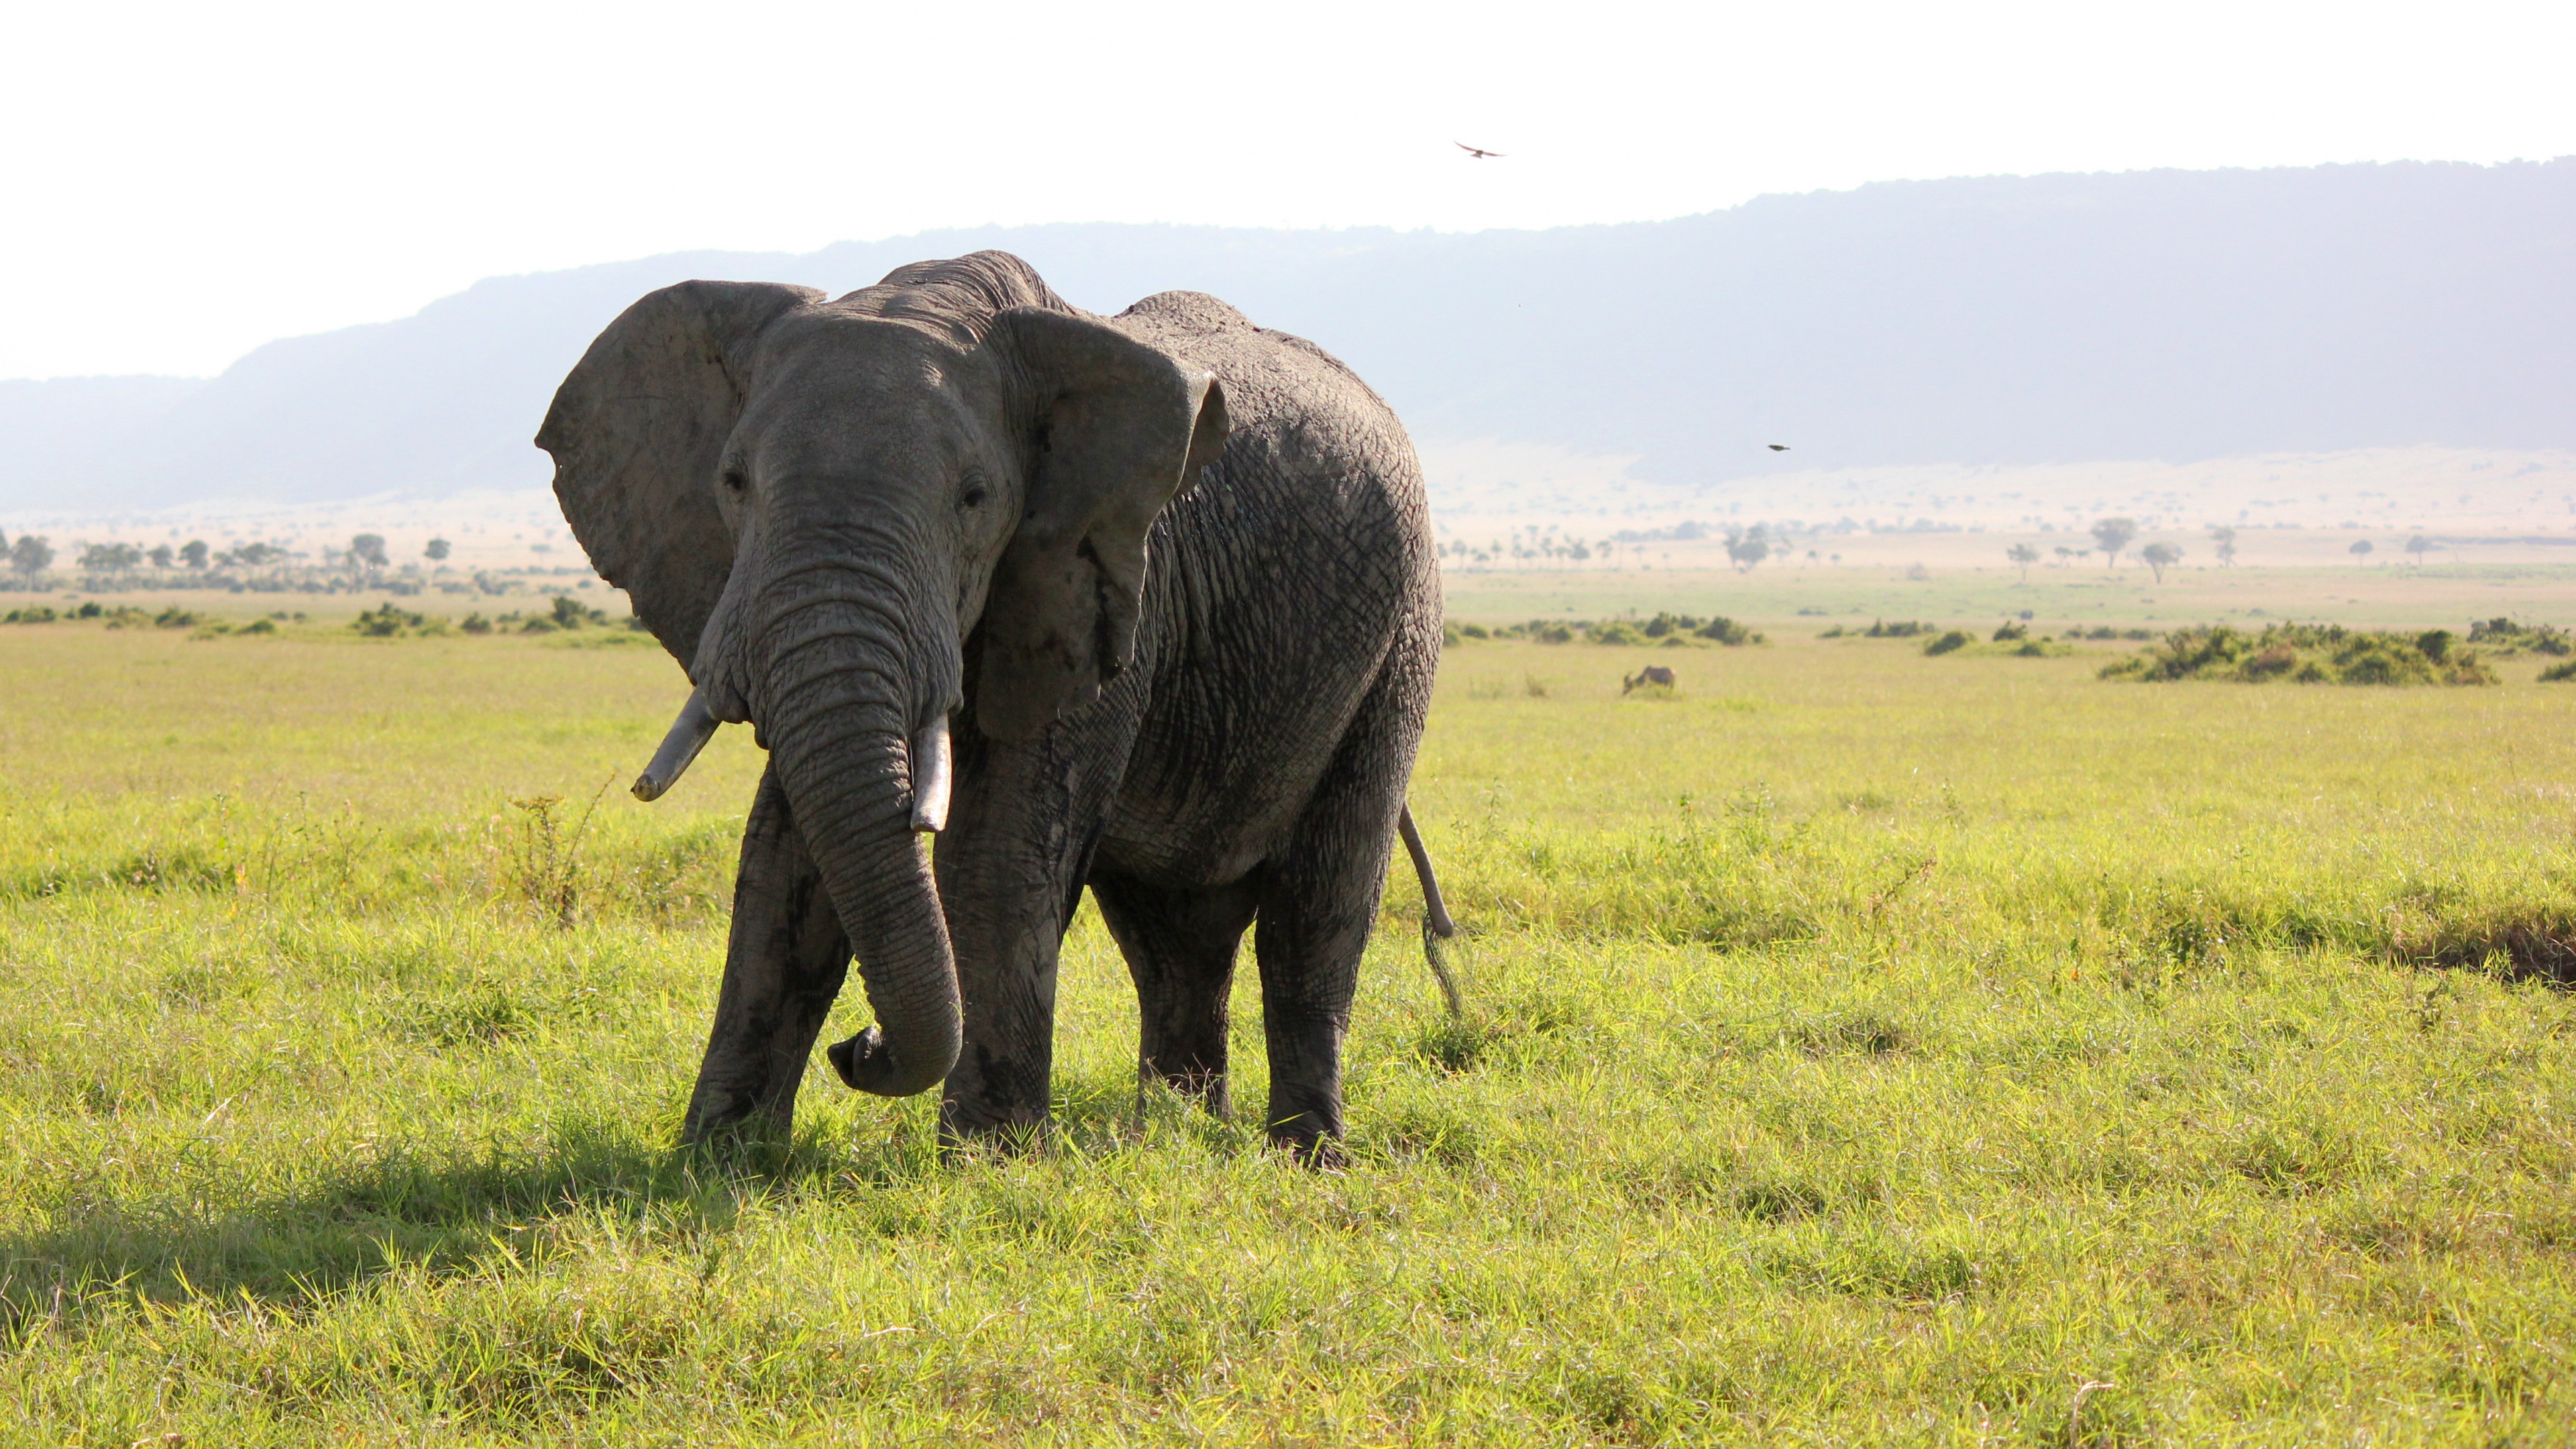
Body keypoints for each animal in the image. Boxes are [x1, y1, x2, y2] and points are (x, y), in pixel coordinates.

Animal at [535, 247, 1452, 1150]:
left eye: (974, 500)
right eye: (732, 482)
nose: (859, 1046)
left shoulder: (1105, 588)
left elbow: (997, 851)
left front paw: (988, 1158)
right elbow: (783, 857)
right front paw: (721, 1157)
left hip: (1402, 636)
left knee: (1320, 903)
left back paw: (1303, 1156)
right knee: (1173, 936)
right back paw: (1176, 1138)